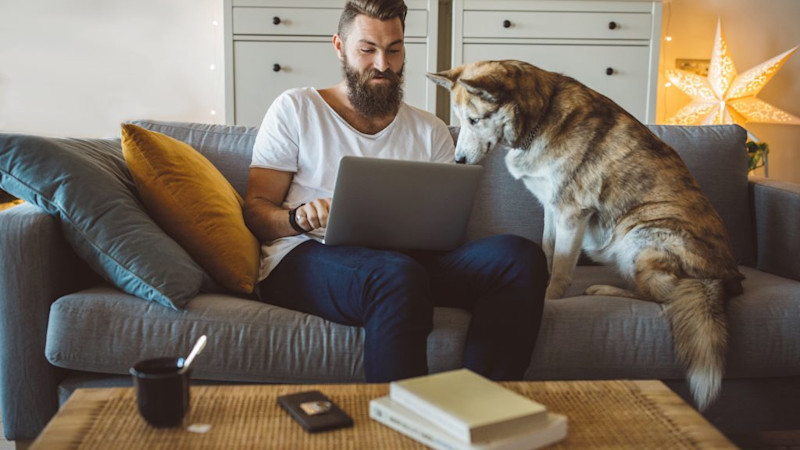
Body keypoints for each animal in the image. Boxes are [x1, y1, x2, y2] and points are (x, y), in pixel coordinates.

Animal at [428, 59, 748, 412]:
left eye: (474, 120)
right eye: (459, 120)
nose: (458, 161)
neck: (539, 117)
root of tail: (722, 278)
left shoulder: (572, 212)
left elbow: (561, 270)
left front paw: (548, 299)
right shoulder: (551, 207)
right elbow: (547, 251)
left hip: (639, 234)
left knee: (662, 297)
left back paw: (603, 288)